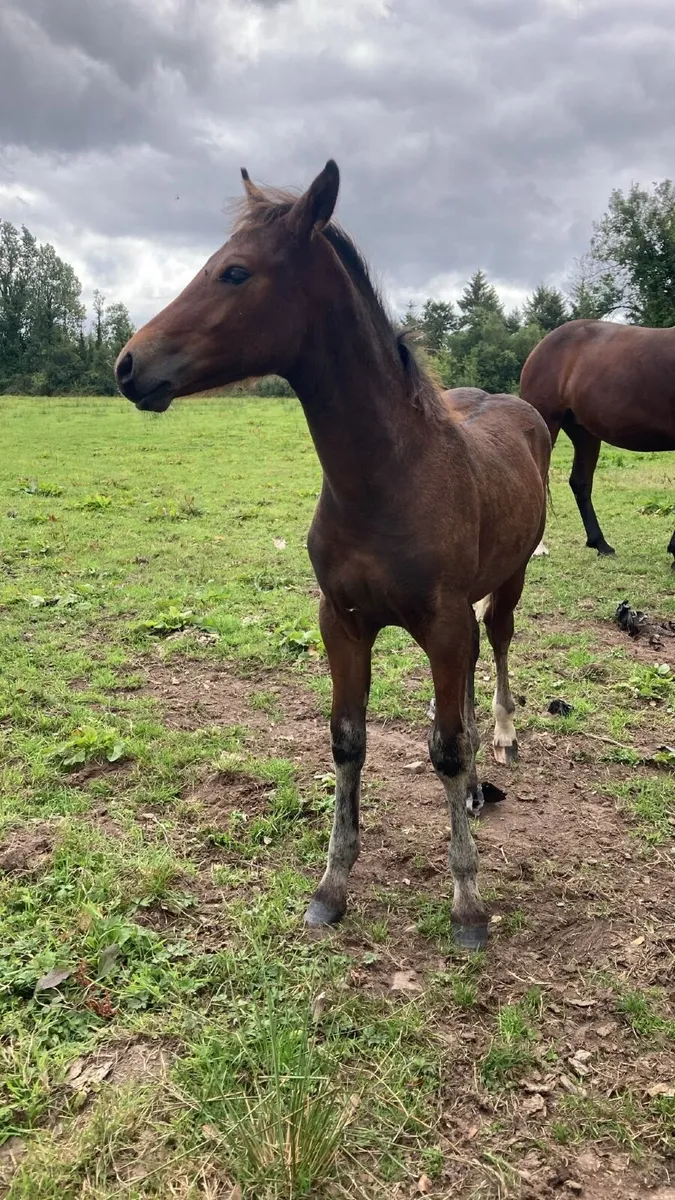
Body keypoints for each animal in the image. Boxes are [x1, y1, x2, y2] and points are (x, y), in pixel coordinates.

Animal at [114, 161, 551, 950]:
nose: (130, 364)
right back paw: (477, 785)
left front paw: (467, 902)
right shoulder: (341, 622)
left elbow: (444, 745)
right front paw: (332, 885)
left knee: (497, 646)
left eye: (235, 271)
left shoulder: (442, 626)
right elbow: (349, 741)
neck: (387, 477)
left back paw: (501, 740)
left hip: (511, 576)